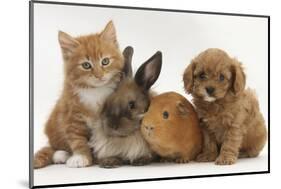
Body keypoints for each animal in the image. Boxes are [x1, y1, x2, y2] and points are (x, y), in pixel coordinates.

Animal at [34, 20, 123, 168]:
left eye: (105, 61)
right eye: (86, 65)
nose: (99, 76)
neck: (95, 91)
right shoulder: (71, 114)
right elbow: (77, 139)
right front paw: (81, 157)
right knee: (53, 146)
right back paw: (61, 155)